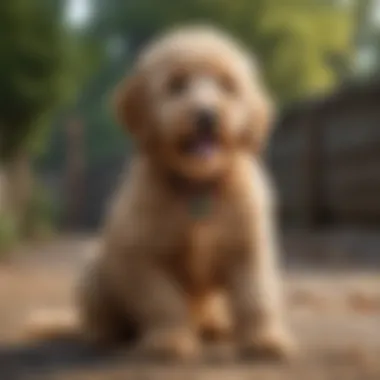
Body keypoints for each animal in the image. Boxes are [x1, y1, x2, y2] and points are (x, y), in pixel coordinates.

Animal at [27, 26, 294, 360]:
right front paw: (170, 340)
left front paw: (264, 339)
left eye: (227, 86)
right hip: (95, 269)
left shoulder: (249, 249)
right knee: (99, 318)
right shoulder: (141, 257)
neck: (197, 186)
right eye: (176, 85)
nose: (207, 115)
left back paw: (214, 325)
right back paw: (107, 334)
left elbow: (256, 297)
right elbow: (163, 302)